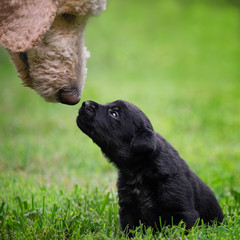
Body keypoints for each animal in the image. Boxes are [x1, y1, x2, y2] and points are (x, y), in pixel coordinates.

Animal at [76, 99, 223, 231]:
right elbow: (129, 230)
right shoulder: (127, 208)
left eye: (114, 113)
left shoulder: (183, 212)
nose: (84, 103)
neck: (141, 168)